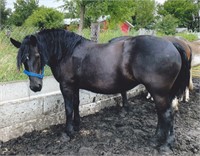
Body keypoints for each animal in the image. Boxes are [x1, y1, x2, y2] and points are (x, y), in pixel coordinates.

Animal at [10, 29, 190, 152]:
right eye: (24, 59)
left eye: (37, 55)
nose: (35, 87)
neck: (68, 51)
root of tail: (173, 45)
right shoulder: (75, 86)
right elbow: (76, 105)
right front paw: (77, 126)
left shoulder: (66, 86)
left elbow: (68, 109)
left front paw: (67, 133)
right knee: (163, 114)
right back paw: (157, 140)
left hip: (159, 92)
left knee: (166, 114)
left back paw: (165, 145)